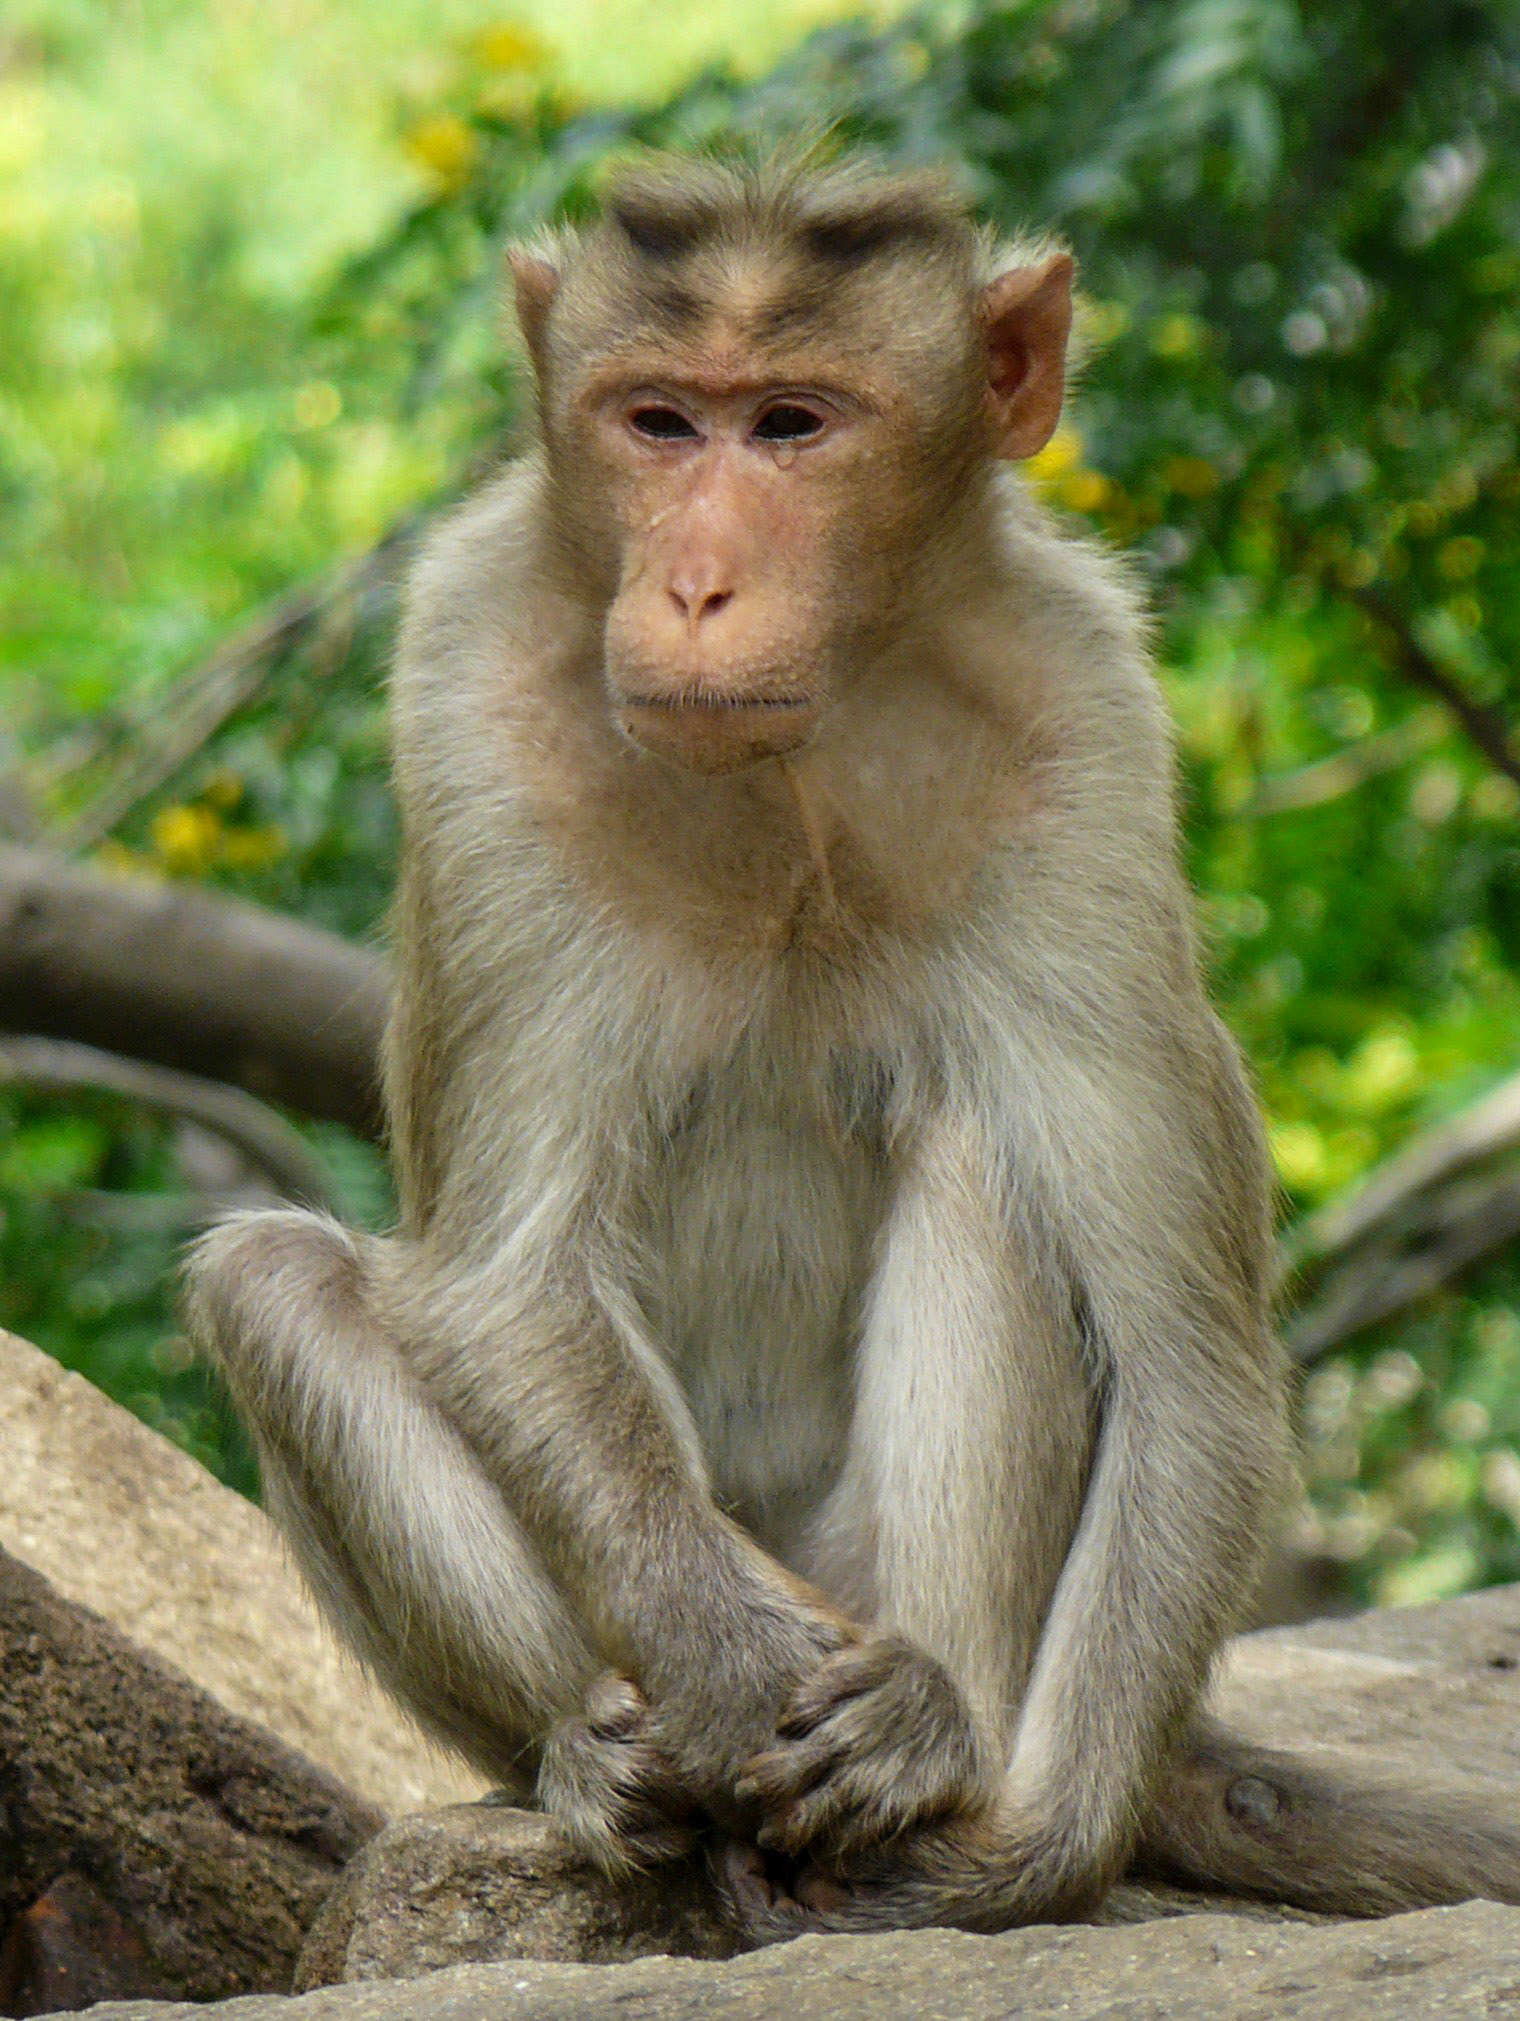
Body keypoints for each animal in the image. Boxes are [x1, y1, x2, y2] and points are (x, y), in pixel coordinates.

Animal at [184, 150, 1520, 1941]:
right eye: (658, 422)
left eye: (793, 425)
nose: (693, 585)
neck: (796, 764)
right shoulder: (464, 676)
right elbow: (505, 1288)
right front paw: (738, 1682)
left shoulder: (1088, 711)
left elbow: (1186, 1355)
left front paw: (1036, 1850)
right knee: (279, 1284)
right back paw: (605, 1763)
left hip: (889, 1580)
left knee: (987, 1165)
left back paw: (940, 1752)